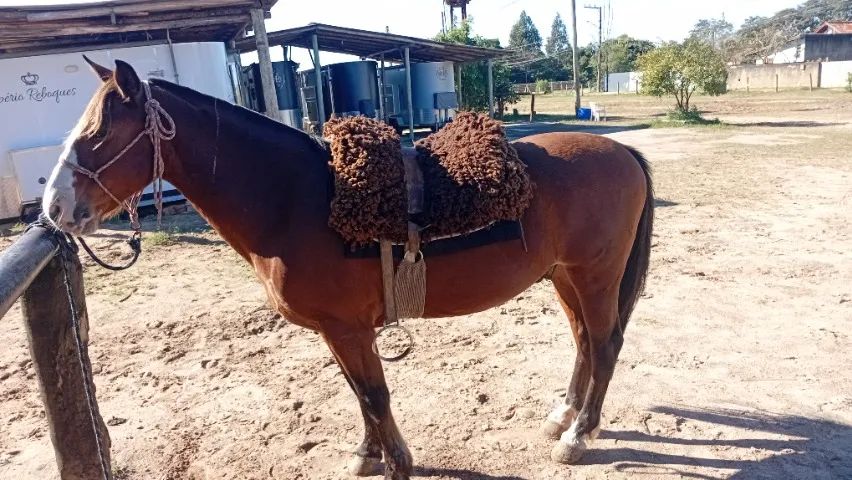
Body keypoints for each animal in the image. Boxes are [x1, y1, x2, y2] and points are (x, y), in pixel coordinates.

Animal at [42, 58, 653, 480]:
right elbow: (358, 394)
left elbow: (375, 395)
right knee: (584, 342)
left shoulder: (350, 329)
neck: (296, 200)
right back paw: (563, 416)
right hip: (564, 276)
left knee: (605, 345)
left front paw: (398, 462)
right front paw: (367, 452)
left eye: (101, 132)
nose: (54, 209)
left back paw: (578, 436)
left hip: (595, 277)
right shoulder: (336, 332)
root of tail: (623, 153)